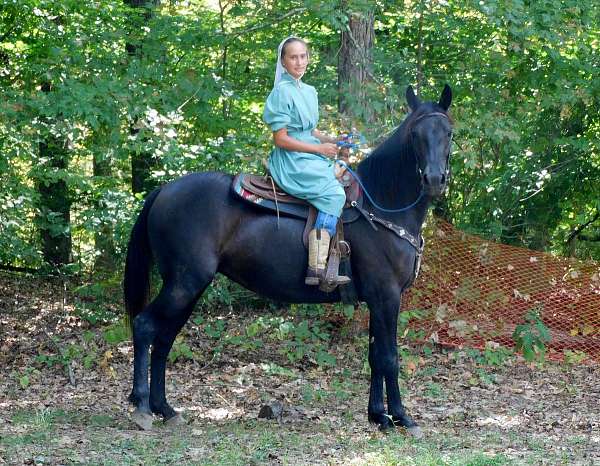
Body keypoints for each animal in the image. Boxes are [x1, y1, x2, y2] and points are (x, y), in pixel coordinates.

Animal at [124, 83, 452, 434]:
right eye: (416, 134)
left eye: (449, 132)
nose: (434, 179)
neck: (381, 205)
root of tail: (164, 190)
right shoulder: (387, 295)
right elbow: (389, 357)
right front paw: (402, 417)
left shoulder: (378, 301)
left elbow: (375, 356)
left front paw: (379, 416)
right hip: (184, 284)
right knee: (144, 326)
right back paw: (142, 406)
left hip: (188, 288)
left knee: (164, 339)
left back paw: (164, 407)